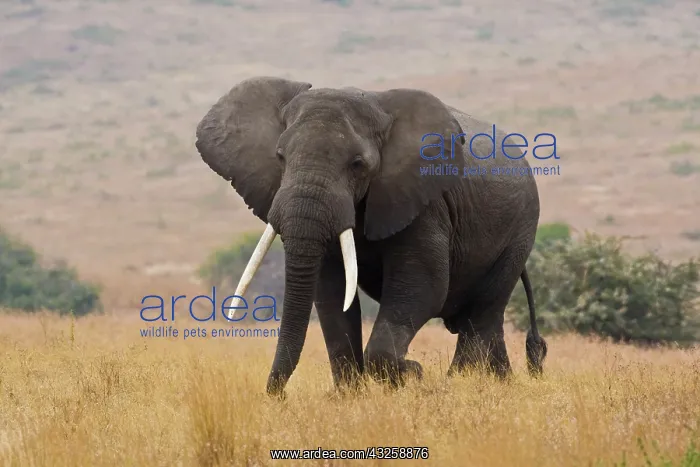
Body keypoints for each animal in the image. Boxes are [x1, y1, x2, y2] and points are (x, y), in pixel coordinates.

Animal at [194, 76, 548, 397]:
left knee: (482, 313)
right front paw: (350, 397)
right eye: (280, 157)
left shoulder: (425, 201)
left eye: (357, 164)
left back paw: (462, 383)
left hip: (520, 229)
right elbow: (332, 293)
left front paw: (412, 374)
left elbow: (423, 286)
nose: (277, 396)